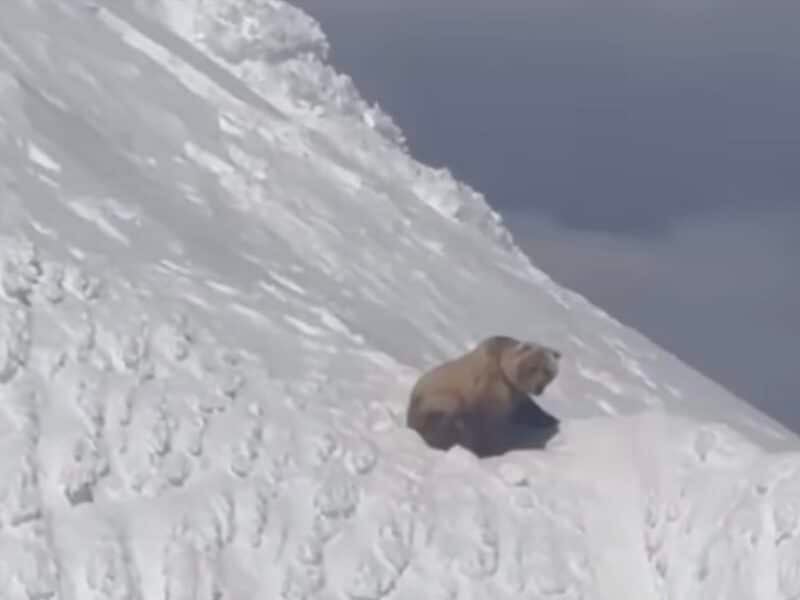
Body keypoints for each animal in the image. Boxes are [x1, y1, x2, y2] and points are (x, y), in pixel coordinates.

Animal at [406, 335, 561, 457]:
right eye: (533, 367)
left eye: (547, 371)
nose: (538, 388)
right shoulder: (489, 387)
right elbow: (488, 424)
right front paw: (491, 449)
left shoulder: (515, 394)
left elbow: (527, 410)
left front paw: (550, 419)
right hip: (436, 400)